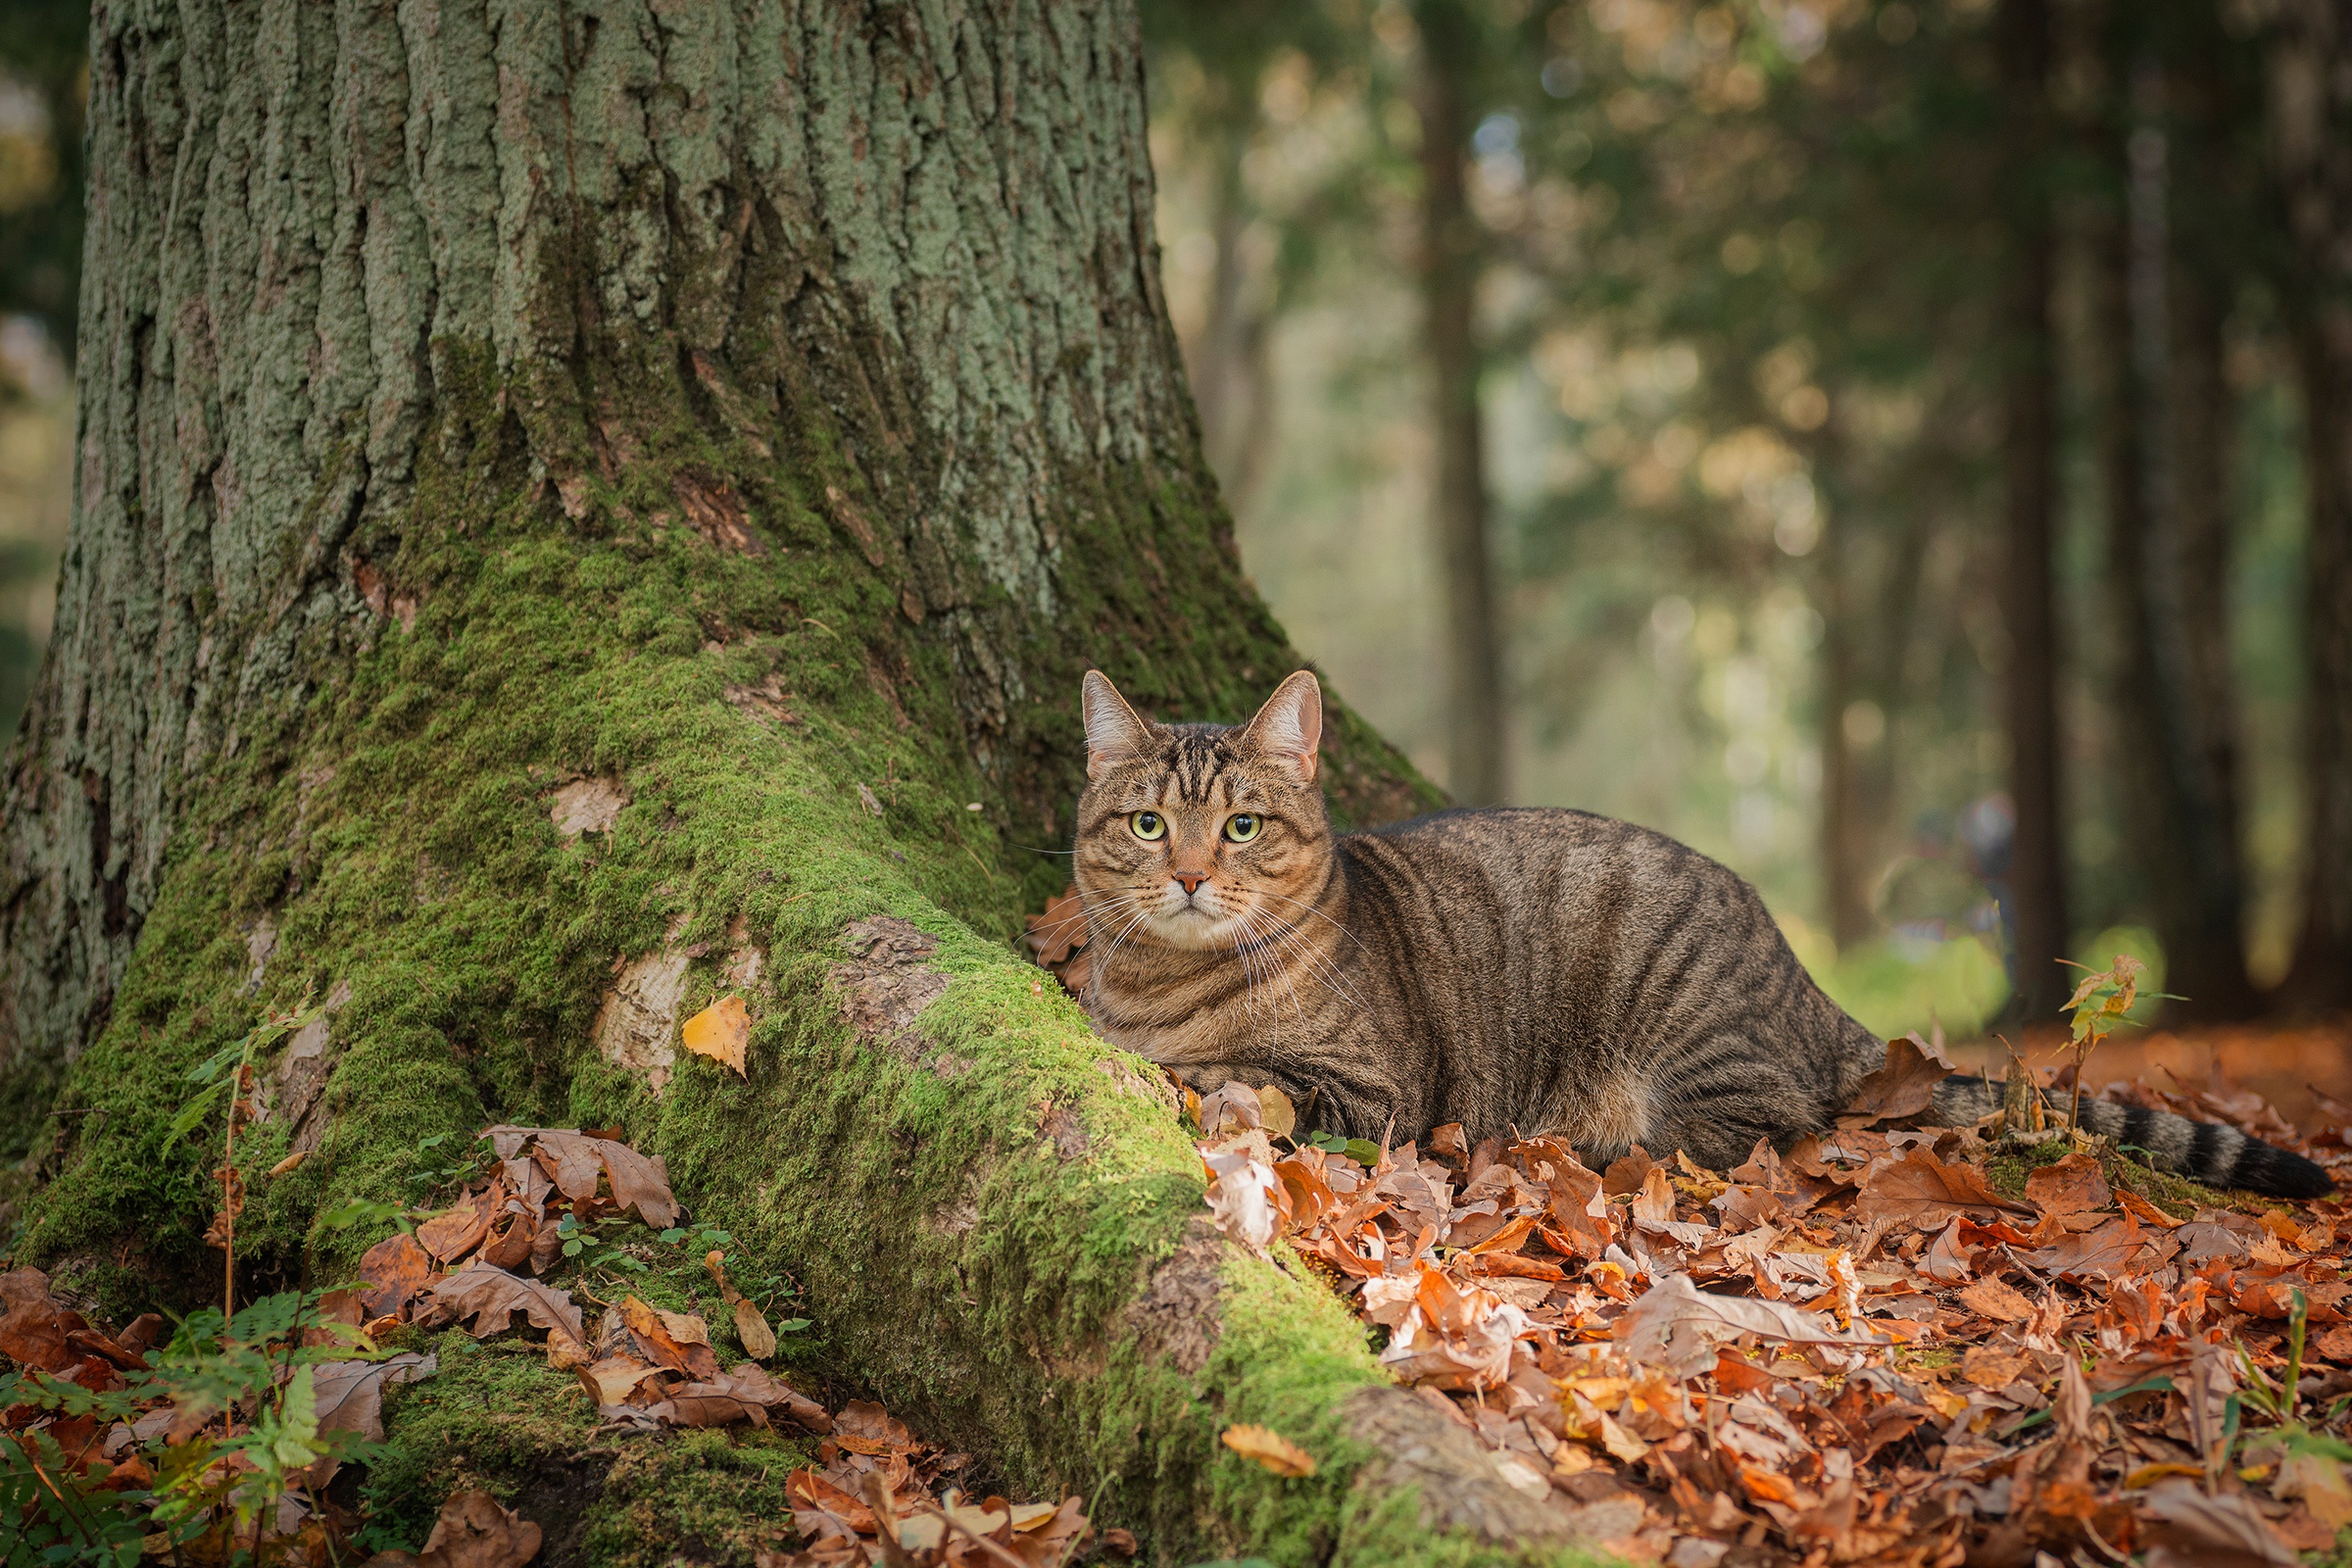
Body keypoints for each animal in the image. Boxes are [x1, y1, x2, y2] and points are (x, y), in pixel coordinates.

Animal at [1072, 667, 2332, 1203]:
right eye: (1149, 824)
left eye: (1240, 826)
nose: (1190, 874)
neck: (1164, 981)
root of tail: (1809, 986)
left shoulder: (1378, 1086)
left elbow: (1253, 1074)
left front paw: (1198, 1079)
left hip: (1682, 1032)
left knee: (1758, 1131)